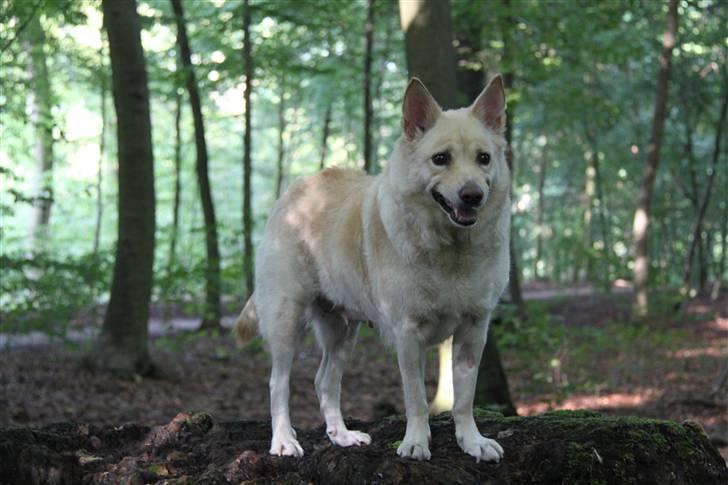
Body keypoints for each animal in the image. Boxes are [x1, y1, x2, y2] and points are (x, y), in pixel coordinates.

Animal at [236, 75, 510, 462]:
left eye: (483, 159)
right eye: (440, 159)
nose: (472, 196)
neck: (451, 249)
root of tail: (295, 191)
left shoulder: (474, 331)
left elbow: (464, 399)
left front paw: (471, 441)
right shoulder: (408, 334)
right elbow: (416, 399)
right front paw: (416, 442)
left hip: (341, 330)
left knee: (325, 382)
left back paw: (341, 435)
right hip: (286, 320)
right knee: (278, 383)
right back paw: (284, 440)